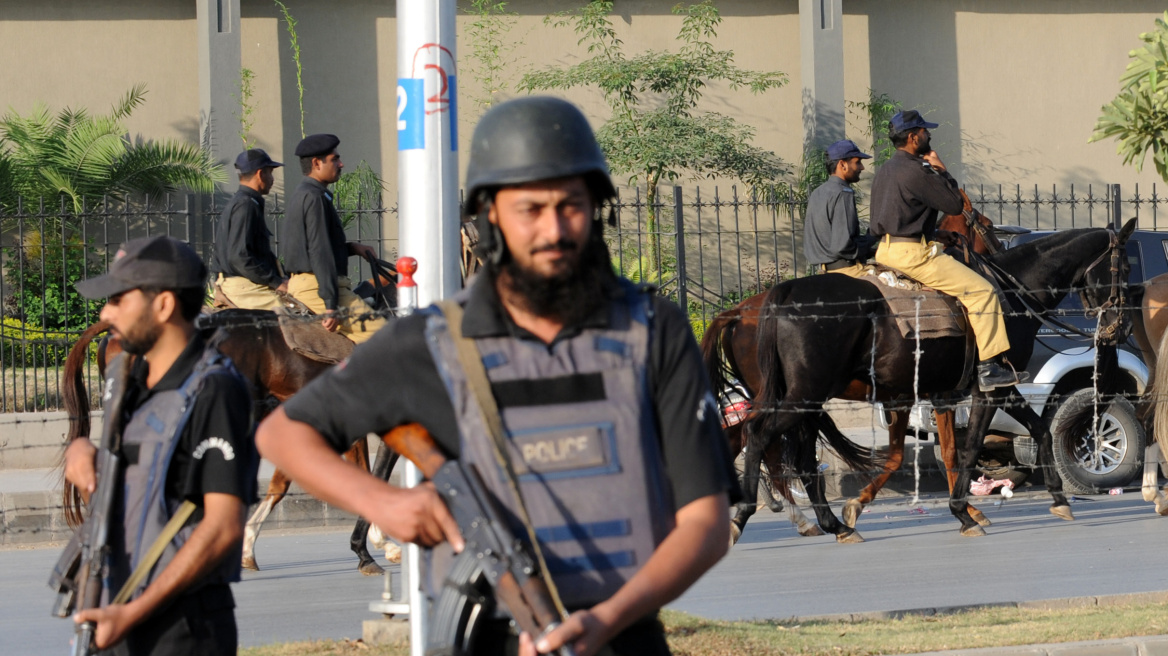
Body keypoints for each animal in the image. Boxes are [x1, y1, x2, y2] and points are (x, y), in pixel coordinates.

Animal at [733, 221, 1135, 539]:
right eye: (1127, 266)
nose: (1122, 326)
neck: (1013, 293)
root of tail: (781, 292)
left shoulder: (982, 388)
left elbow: (1036, 432)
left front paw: (1058, 497)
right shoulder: (990, 387)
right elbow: (972, 446)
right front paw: (962, 511)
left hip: (807, 399)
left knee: (795, 454)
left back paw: (833, 524)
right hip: (805, 394)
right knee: (759, 434)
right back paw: (744, 516)